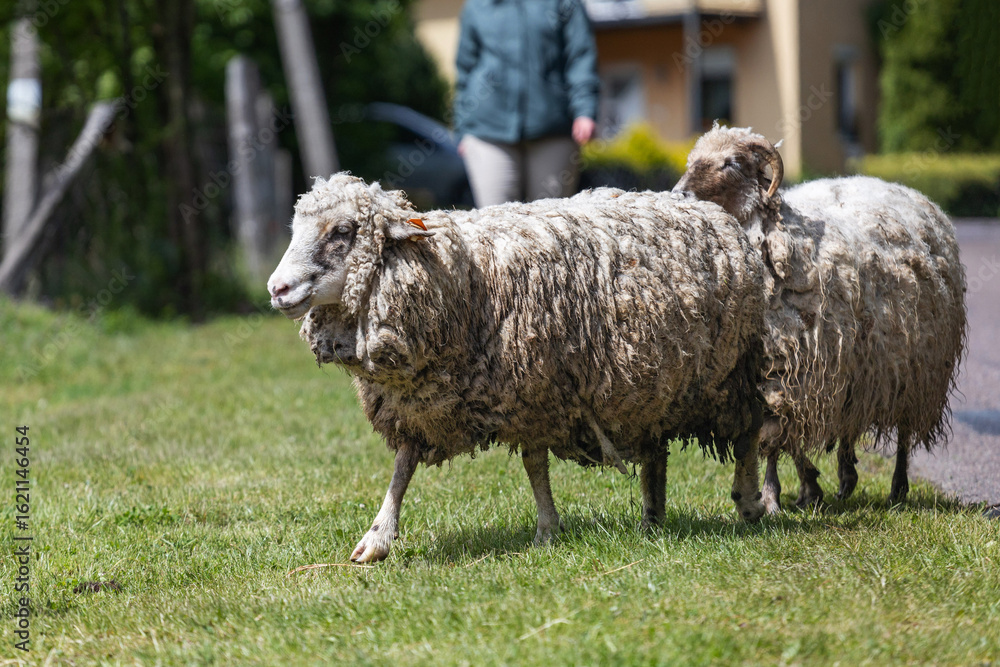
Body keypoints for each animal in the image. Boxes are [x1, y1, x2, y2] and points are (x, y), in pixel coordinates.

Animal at [267, 173, 768, 563]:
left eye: (342, 231)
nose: (277, 288)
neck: (456, 282)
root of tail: (708, 209)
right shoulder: (421, 406)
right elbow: (403, 468)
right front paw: (377, 538)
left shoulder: (537, 391)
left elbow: (533, 465)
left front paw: (546, 528)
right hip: (652, 384)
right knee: (656, 451)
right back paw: (652, 516)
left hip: (733, 371)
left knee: (748, 434)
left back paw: (749, 503)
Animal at [673, 124, 967, 512]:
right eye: (692, 159)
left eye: (731, 162)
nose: (680, 194)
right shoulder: (778, 371)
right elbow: (780, 434)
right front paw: (806, 486)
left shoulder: (793, 369)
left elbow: (775, 434)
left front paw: (771, 495)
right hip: (859, 365)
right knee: (848, 421)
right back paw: (844, 477)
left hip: (916, 371)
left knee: (904, 431)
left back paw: (897, 487)